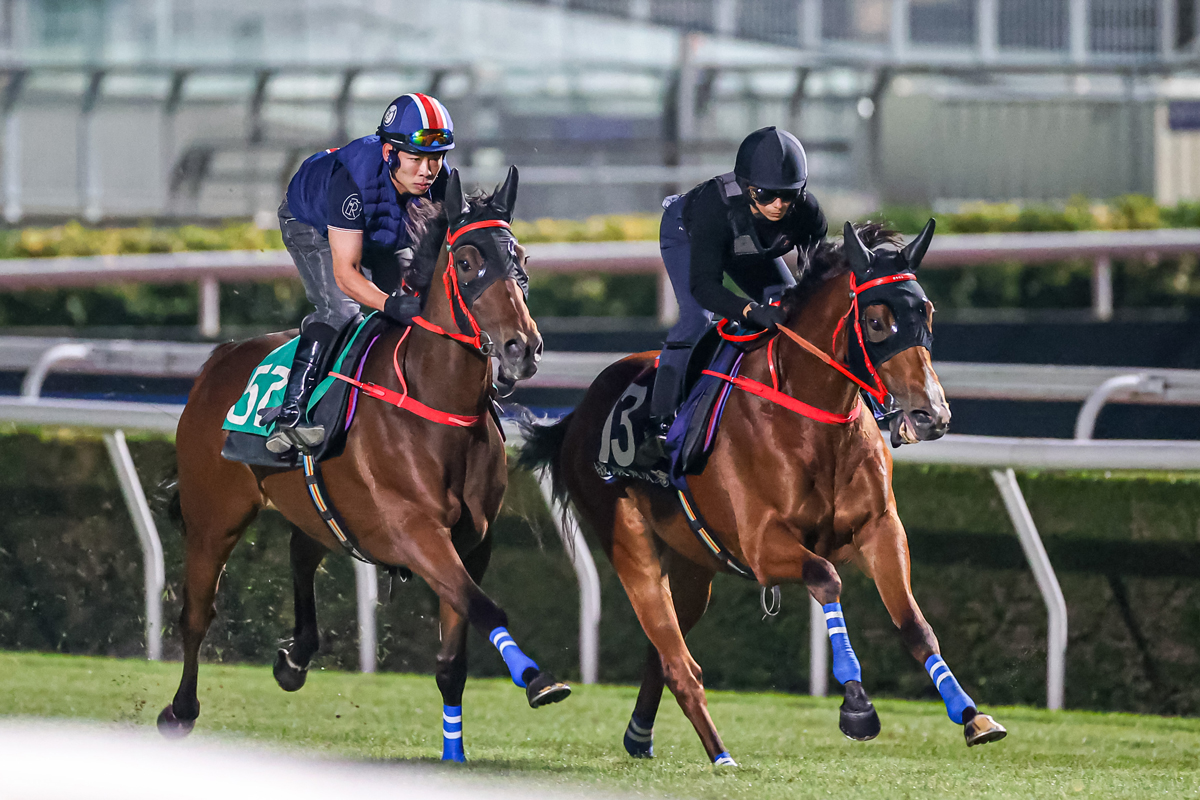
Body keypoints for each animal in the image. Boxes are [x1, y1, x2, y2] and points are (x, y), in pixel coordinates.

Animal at [159, 167, 571, 758]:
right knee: (197, 610)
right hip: (214, 515)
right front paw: (538, 679)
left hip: (313, 503)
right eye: (467, 262)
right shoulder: (415, 531)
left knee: (302, 549)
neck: (436, 405)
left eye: (522, 257)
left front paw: (454, 751)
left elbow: (454, 655)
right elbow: (486, 608)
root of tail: (220, 357)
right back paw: (180, 709)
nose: (523, 348)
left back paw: (295, 658)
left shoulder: (473, 542)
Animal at [520, 220, 1008, 767]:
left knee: (662, 651)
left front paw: (973, 717)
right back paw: (719, 754)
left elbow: (916, 625)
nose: (931, 415)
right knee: (678, 660)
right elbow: (827, 578)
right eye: (876, 322)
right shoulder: (761, 546)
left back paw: (640, 735)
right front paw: (857, 705)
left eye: (926, 312)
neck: (811, 418)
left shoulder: (880, 529)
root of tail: (577, 415)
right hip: (630, 545)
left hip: (694, 566)